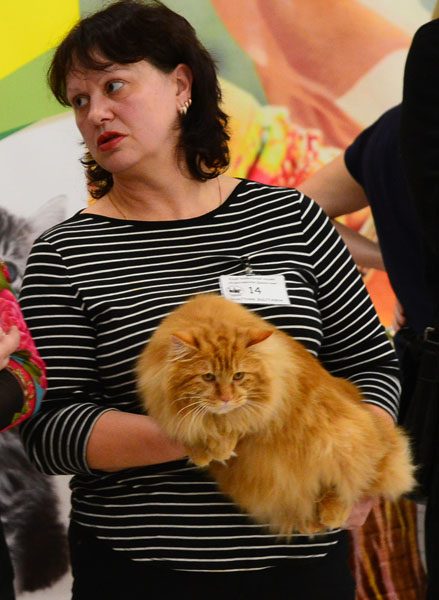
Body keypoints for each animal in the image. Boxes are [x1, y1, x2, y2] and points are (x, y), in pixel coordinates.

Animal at [137, 293, 415, 536]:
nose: (226, 398)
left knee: (353, 482)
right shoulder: (167, 405)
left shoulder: (267, 399)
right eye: (208, 377)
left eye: (239, 376)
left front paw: (220, 444)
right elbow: (190, 423)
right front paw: (202, 449)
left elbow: (234, 421)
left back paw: (331, 514)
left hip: (344, 440)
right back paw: (310, 523)